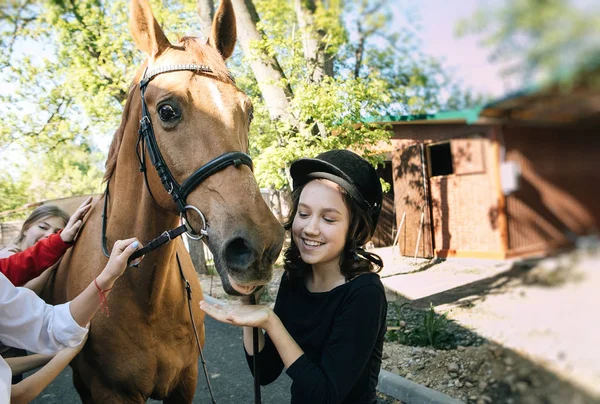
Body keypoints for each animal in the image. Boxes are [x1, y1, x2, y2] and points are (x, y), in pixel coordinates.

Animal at [47, 0, 286, 400]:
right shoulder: (110, 394)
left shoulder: (185, 381)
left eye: (248, 111)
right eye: (167, 110)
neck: (146, 294)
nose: (260, 246)